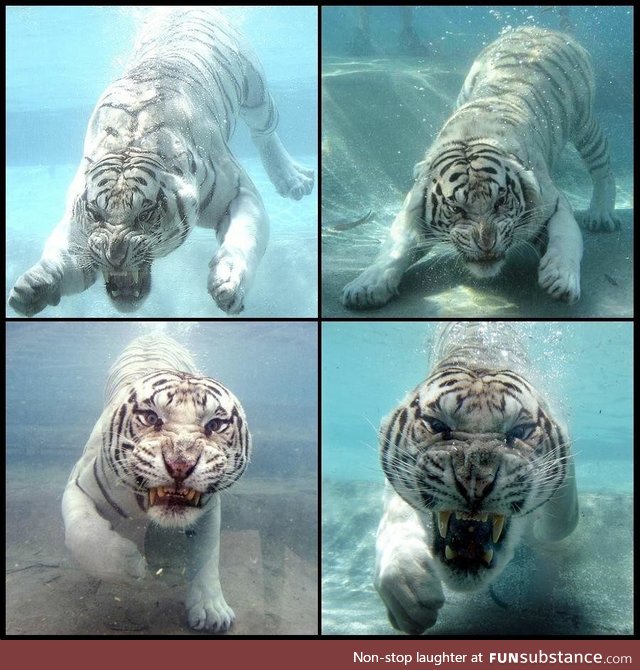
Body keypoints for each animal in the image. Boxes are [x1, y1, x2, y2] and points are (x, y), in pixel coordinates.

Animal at [7, 7, 312, 318]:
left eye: (145, 214)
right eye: (95, 214)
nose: (114, 257)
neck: (129, 140)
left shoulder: (238, 191)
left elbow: (245, 237)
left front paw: (227, 282)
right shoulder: (77, 223)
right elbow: (64, 251)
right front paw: (35, 284)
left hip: (257, 94)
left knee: (263, 132)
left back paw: (293, 180)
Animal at [60, 338, 250, 632]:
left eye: (215, 424)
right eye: (151, 418)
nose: (180, 464)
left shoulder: (208, 506)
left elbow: (206, 555)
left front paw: (211, 610)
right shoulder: (79, 484)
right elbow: (83, 532)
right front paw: (131, 565)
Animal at [344, 26, 620, 310]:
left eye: (500, 202)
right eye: (457, 209)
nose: (487, 244)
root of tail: (539, 28)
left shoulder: (553, 204)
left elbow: (566, 239)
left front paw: (561, 279)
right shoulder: (412, 209)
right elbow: (394, 249)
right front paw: (365, 286)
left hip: (585, 123)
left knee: (602, 166)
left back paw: (601, 215)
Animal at [376, 324, 580, 636]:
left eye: (519, 431)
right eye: (436, 425)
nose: (475, 481)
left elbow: (561, 522)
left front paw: (542, 532)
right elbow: (396, 519)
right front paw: (407, 593)